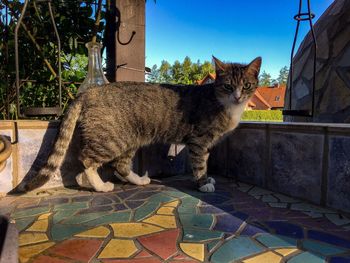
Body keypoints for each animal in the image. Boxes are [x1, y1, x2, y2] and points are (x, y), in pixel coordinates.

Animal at [14, 56, 260, 194]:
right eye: (228, 86)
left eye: (247, 85)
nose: (238, 96)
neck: (223, 103)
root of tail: (91, 92)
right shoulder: (199, 141)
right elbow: (199, 163)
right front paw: (202, 183)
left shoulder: (207, 144)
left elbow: (206, 162)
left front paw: (207, 178)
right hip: (111, 139)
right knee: (87, 161)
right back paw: (100, 186)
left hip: (129, 139)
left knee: (120, 165)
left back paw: (138, 180)